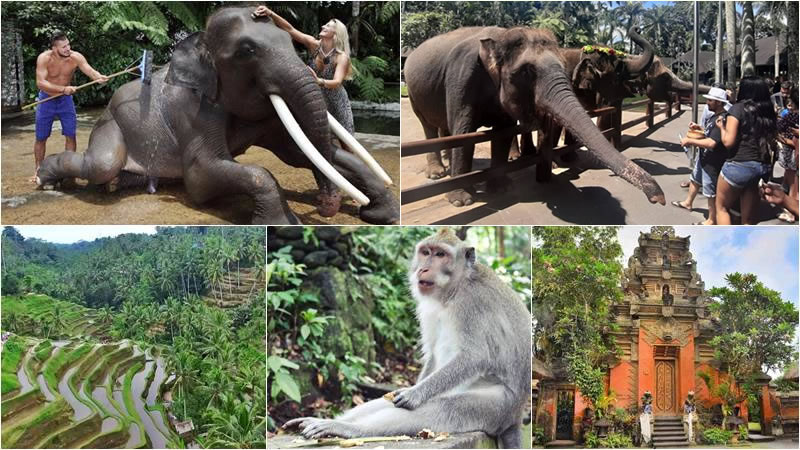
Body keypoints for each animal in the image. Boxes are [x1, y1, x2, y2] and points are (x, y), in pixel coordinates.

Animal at [35, 7, 399, 225]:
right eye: (247, 51)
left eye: (290, 40)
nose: (325, 207)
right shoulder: (194, 109)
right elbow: (202, 174)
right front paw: (281, 223)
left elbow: (298, 154)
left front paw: (381, 214)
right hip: (110, 124)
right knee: (101, 164)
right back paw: (45, 178)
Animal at [404, 26, 666, 207]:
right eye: (527, 72)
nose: (659, 199)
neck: (501, 36)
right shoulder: (461, 78)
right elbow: (464, 132)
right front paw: (461, 200)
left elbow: (503, 131)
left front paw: (501, 189)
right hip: (413, 91)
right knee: (429, 126)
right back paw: (438, 173)